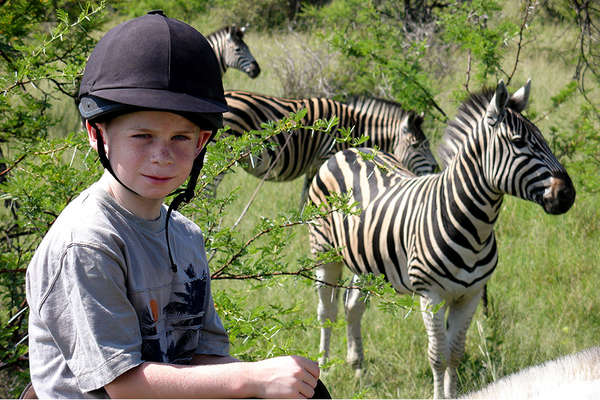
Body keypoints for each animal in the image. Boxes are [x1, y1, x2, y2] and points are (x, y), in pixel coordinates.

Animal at [209, 90, 438, 200]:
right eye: (417, 145)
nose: (436, 168)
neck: (353, 127)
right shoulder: (328, 157)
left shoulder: (314, 165)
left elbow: (305, 198)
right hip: (220, 158)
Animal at [308, 79, 576, 398]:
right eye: (519, 142)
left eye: (543, 139)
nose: (568, 194)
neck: (473, 226)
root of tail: (352, 150)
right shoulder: (431, 295)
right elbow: (438, 355)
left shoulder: (470, 295)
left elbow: (455, 352)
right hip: (324, 252)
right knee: (326, 311)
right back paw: (324, 368)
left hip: (366, 261)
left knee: (353, 307)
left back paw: (359, 370)